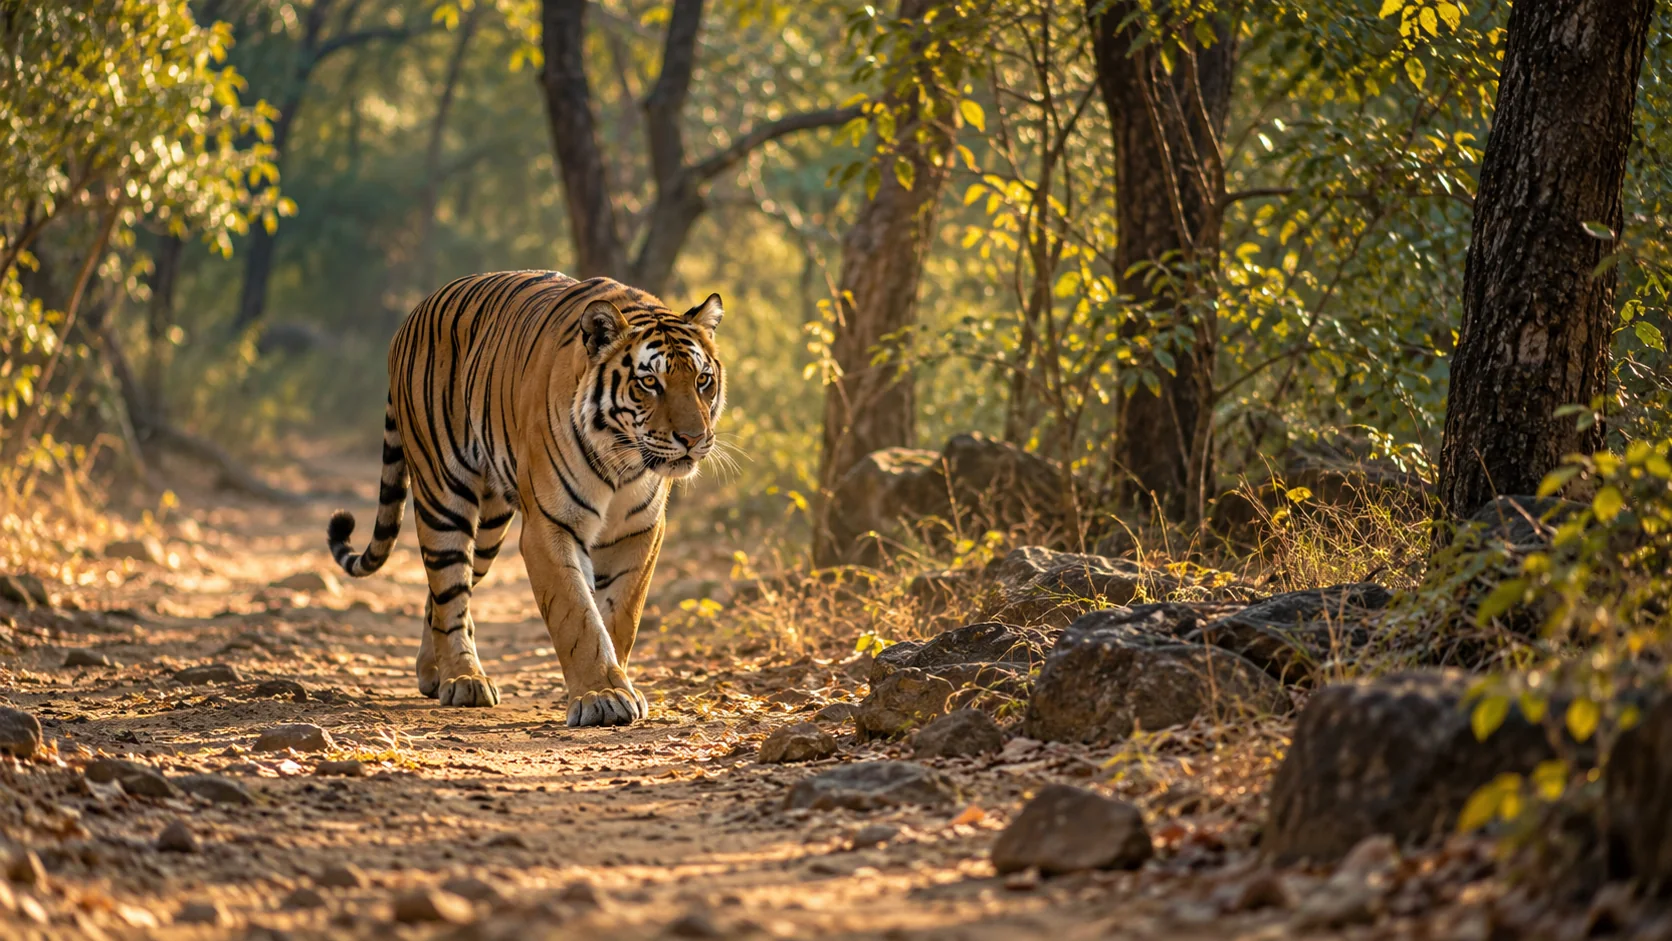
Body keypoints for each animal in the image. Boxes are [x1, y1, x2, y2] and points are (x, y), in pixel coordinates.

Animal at [324, 271, 725, 727]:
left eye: (702, 380)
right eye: (649, 382)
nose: (693, 439)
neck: (623, 461)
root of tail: (412, 315)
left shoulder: (640, 532)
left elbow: (621, 615)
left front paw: (617, 682)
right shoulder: (549, 527)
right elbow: (578, 616)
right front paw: (602, 695)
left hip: (490, 527)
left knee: (441, 595)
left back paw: (434, 672)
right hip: (443, 495)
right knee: (448, 588)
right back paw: (463, 678)